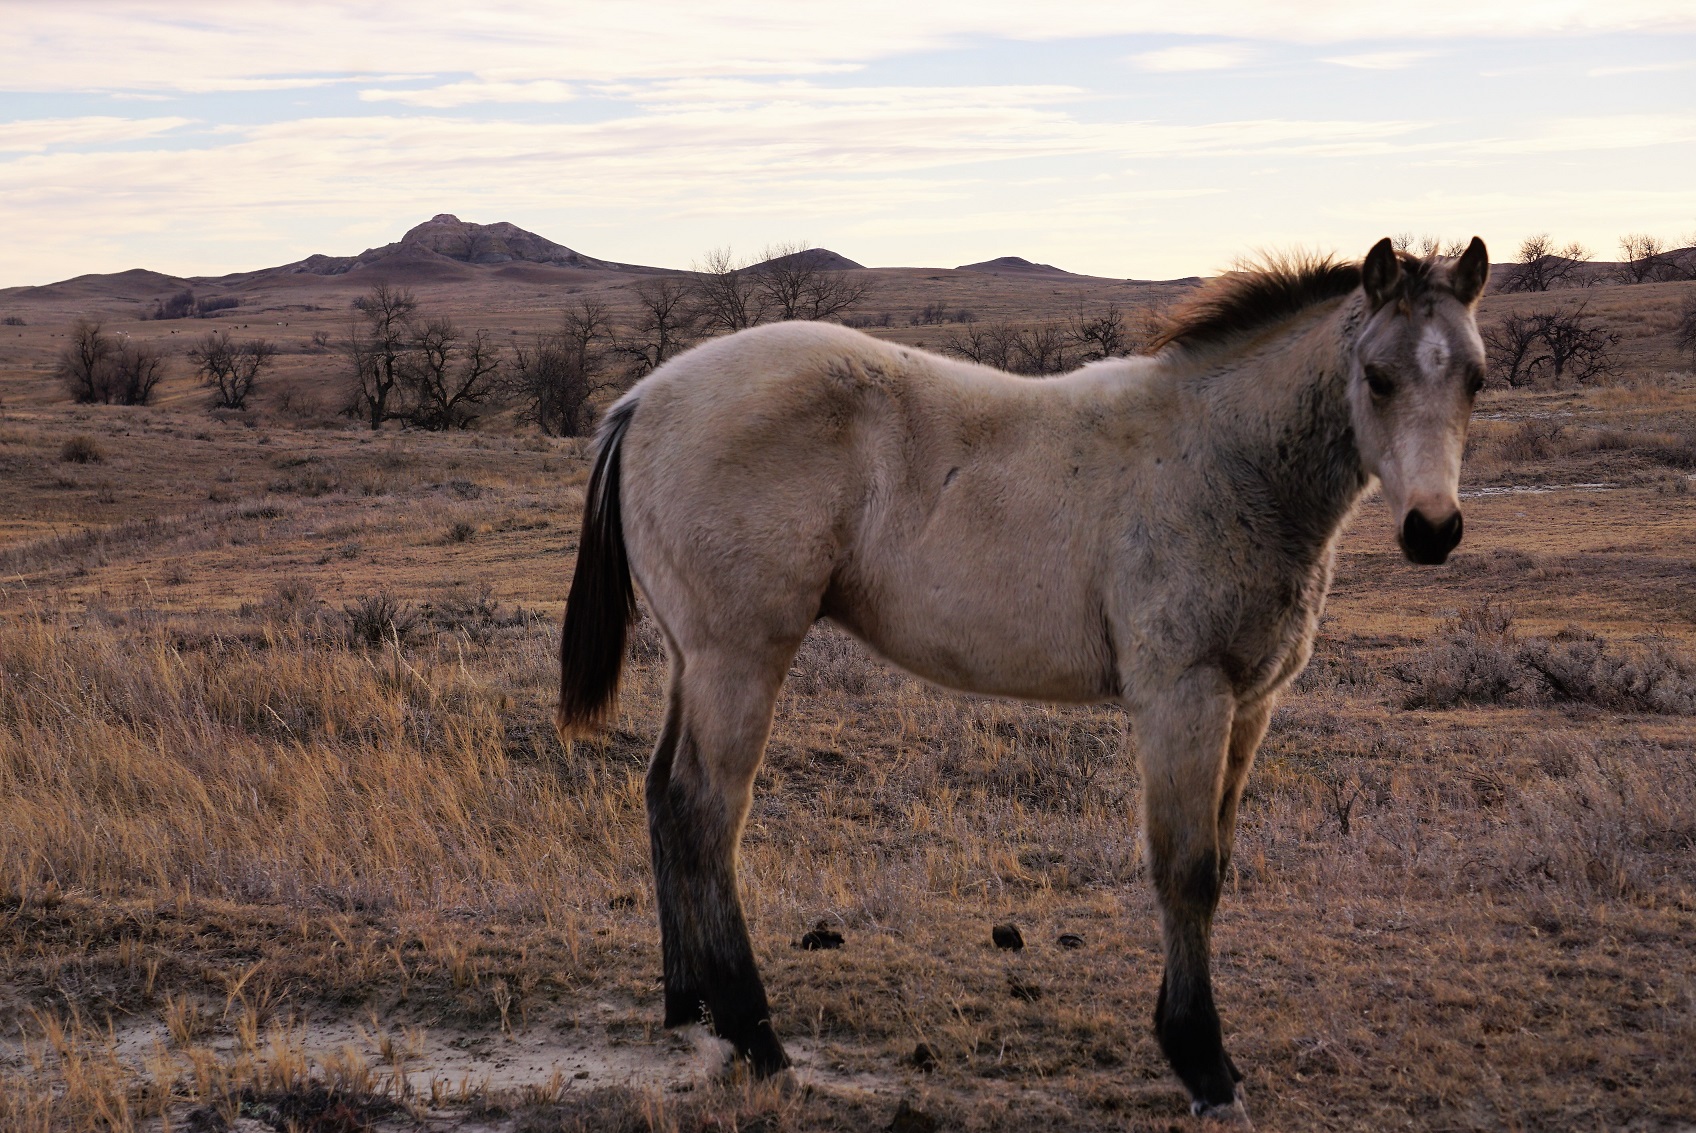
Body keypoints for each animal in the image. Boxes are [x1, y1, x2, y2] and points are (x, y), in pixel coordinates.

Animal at [554, 236, 1489, 1121]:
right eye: (1377, 376)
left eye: (1475, 378)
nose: (1433, 530)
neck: (1223, 458)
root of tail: (644, 400)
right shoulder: (1182, 697)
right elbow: (1185, 869)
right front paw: (1202, 1061)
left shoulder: (1251, 704)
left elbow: (1217, 862)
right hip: (740, 659)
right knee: (708, 813)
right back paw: (756, 1036)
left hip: (696, 661)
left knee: (664, 797)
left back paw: (690, 1007)